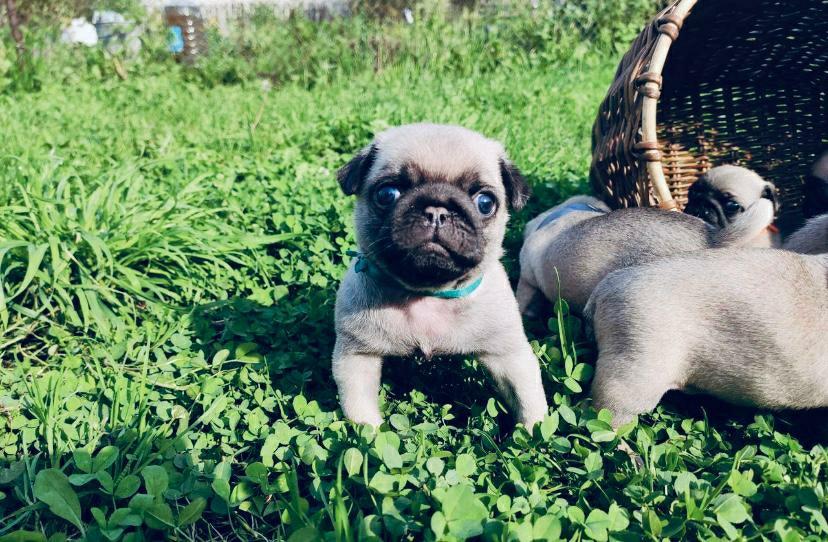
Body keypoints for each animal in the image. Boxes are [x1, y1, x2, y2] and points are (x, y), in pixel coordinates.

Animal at [330, 123, 548, 430]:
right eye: (387, 194)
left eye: (485, 203)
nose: (437, 211)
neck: (428, 294)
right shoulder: (357, 356)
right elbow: (360, 410)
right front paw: (368, 436)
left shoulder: (510, 356)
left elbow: (529, 400)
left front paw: (534, 433)